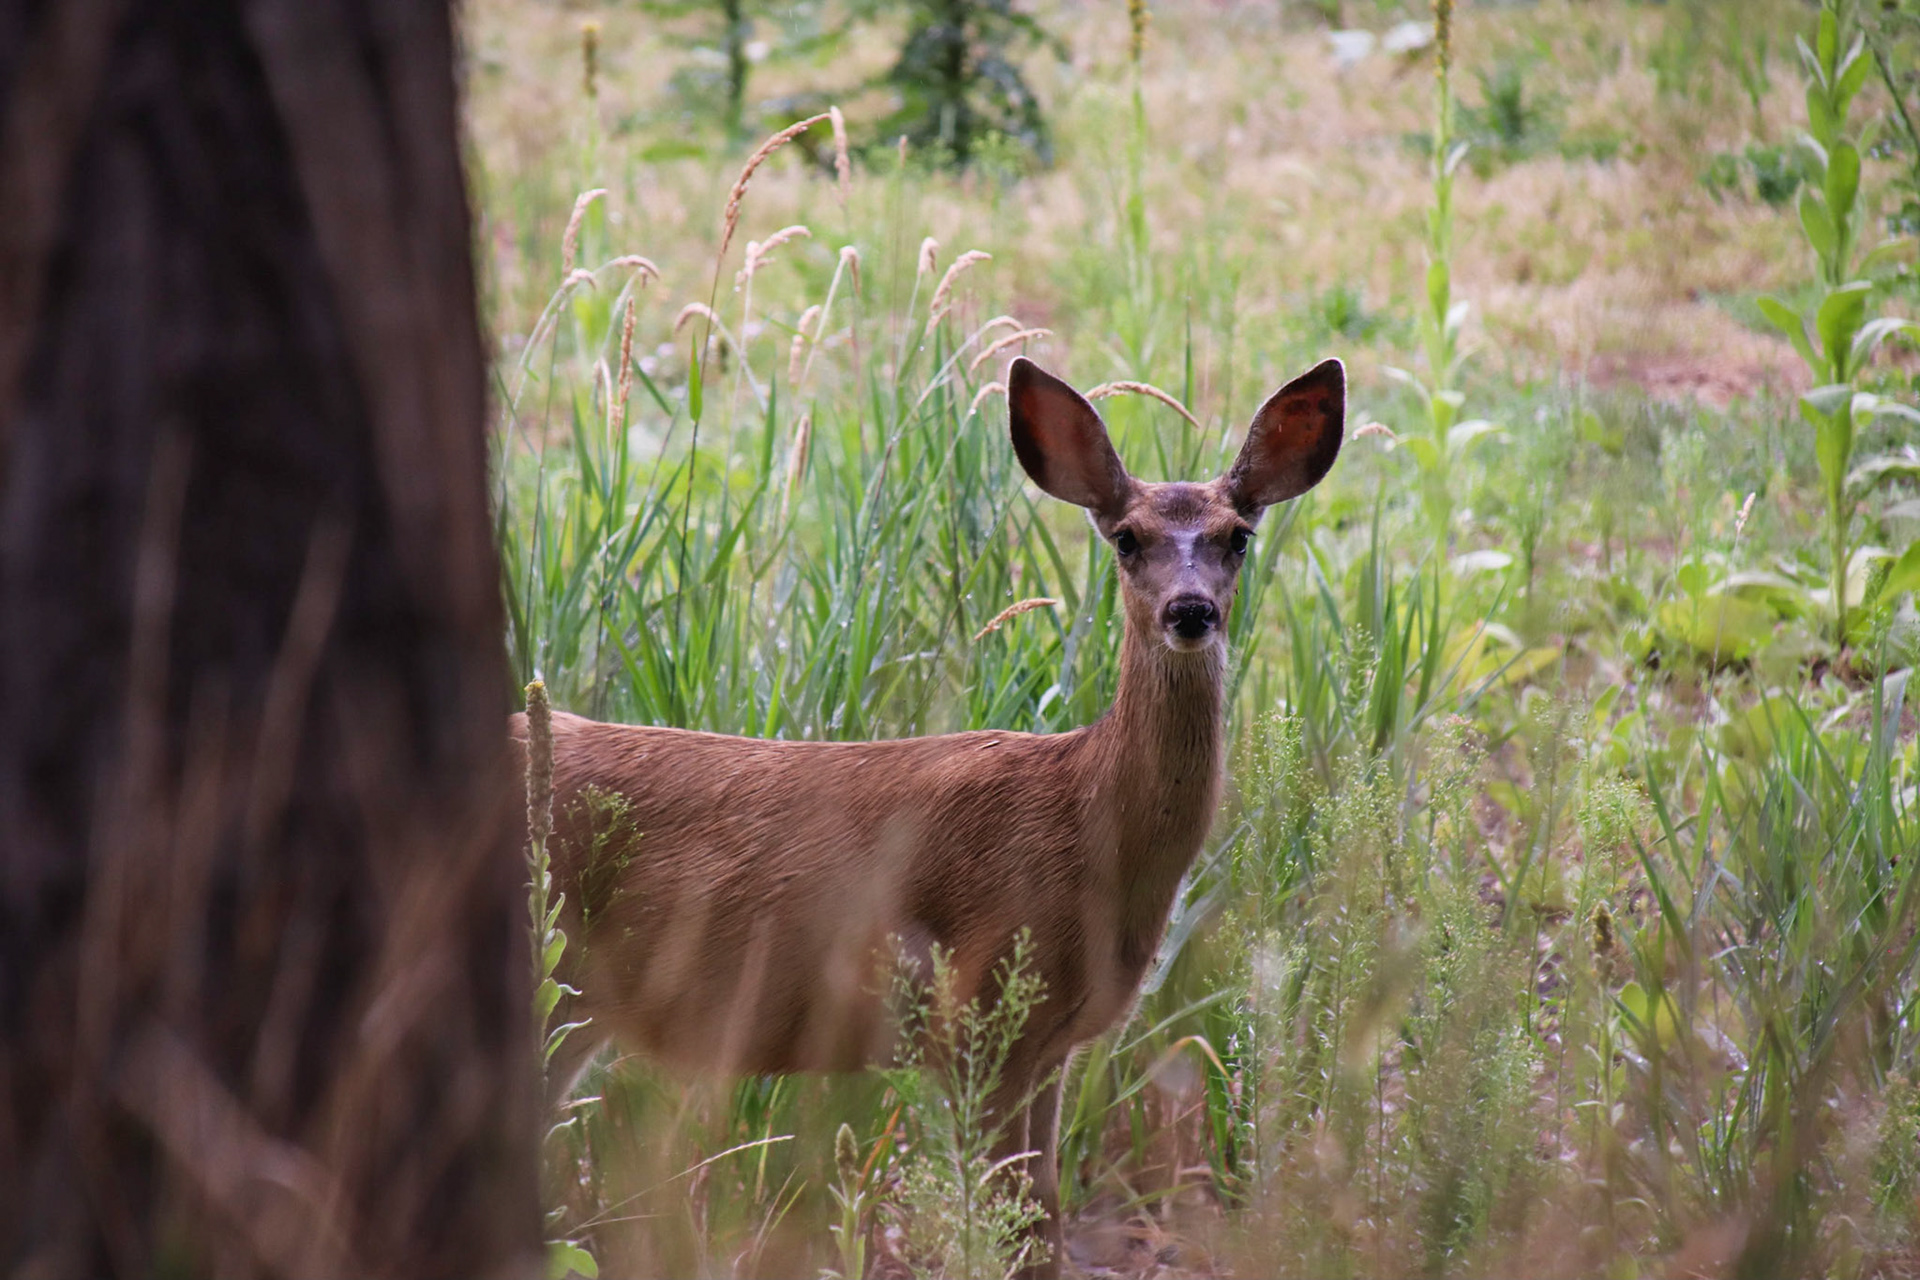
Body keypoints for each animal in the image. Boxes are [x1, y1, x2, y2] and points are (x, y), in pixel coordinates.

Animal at [514, 354, 1343, 1277]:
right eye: (1126, 538)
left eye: (1238, 535)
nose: (1190, 611)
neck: (1089, 822)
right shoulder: (981, 1008)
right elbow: (1012, 1229)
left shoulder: (1052, 1046)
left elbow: (1043, 1224)